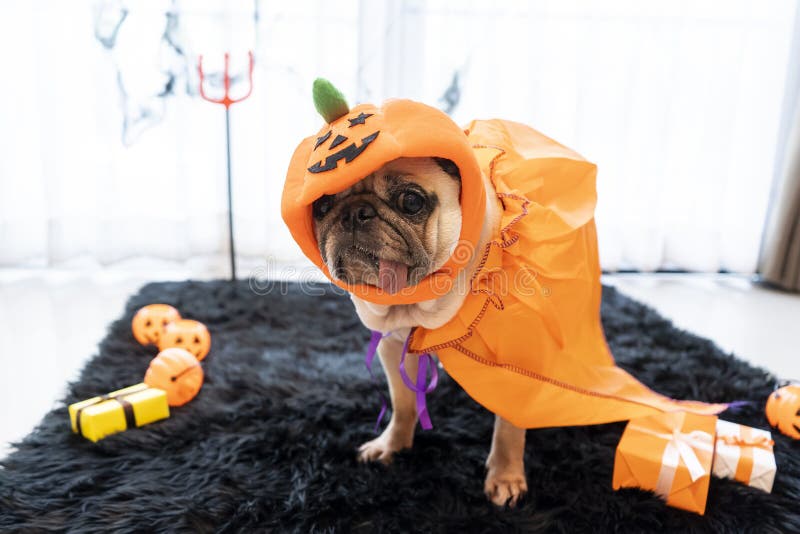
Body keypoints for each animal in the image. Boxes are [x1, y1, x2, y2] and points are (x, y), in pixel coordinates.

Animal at [310, 157, 528, 508]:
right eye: (323, 206)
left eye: (411, 202)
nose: (355, 212)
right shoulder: (391, 348)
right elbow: (403, 404)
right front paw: (392, 445)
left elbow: (508, 427)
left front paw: (505, 477)